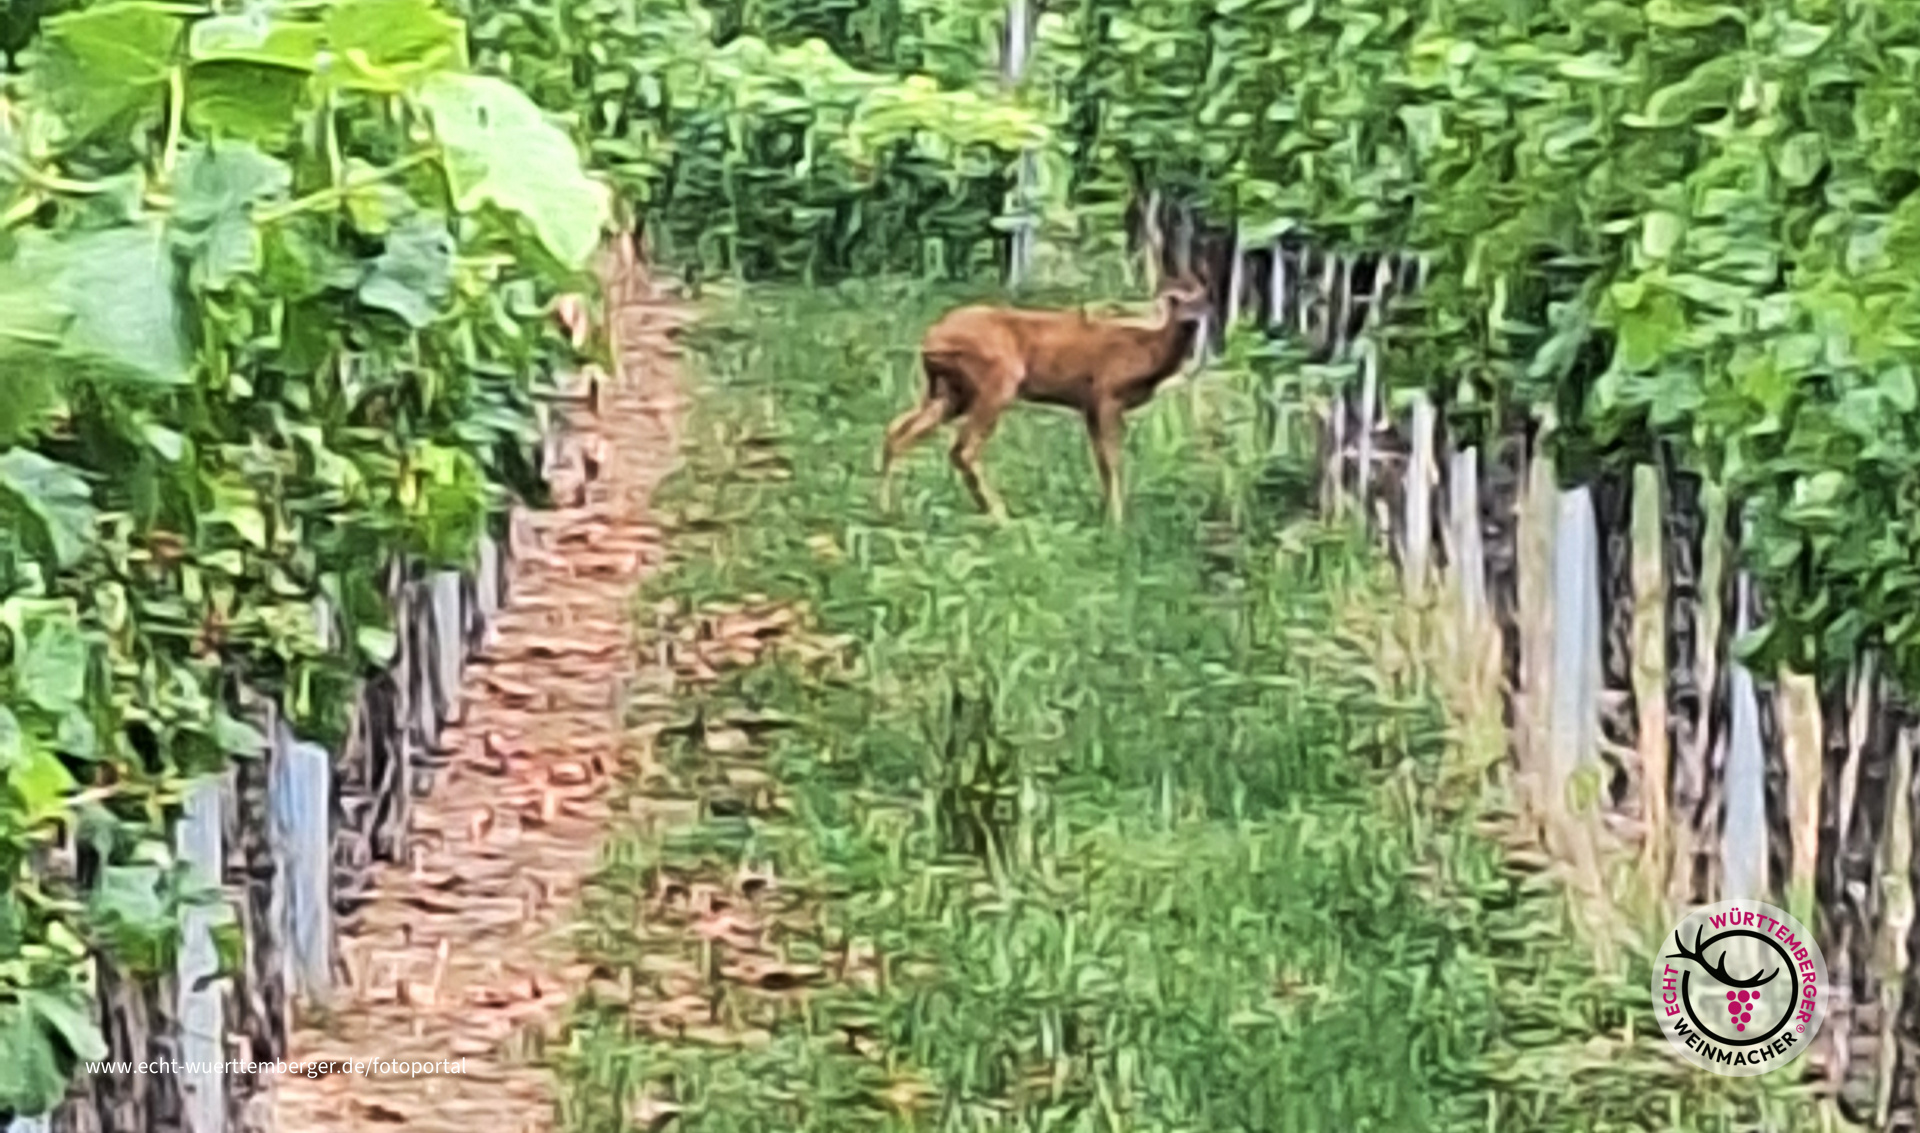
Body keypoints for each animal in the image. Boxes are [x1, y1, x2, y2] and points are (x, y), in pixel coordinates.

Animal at [877, 272, 1213, 525]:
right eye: (1175, 301)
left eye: (1204, 299)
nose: (1195, 319)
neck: (1147, 352)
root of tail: (931, 340)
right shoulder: (1106, 395)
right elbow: (1113, 461)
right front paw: (1118, 524)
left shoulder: (1090, 407)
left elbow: (1102, 463)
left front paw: (1107, 517)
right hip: (998, 379)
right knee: (963, 448)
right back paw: (1002, 517)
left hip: (949, 392)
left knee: (897, 430)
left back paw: (888, 508)